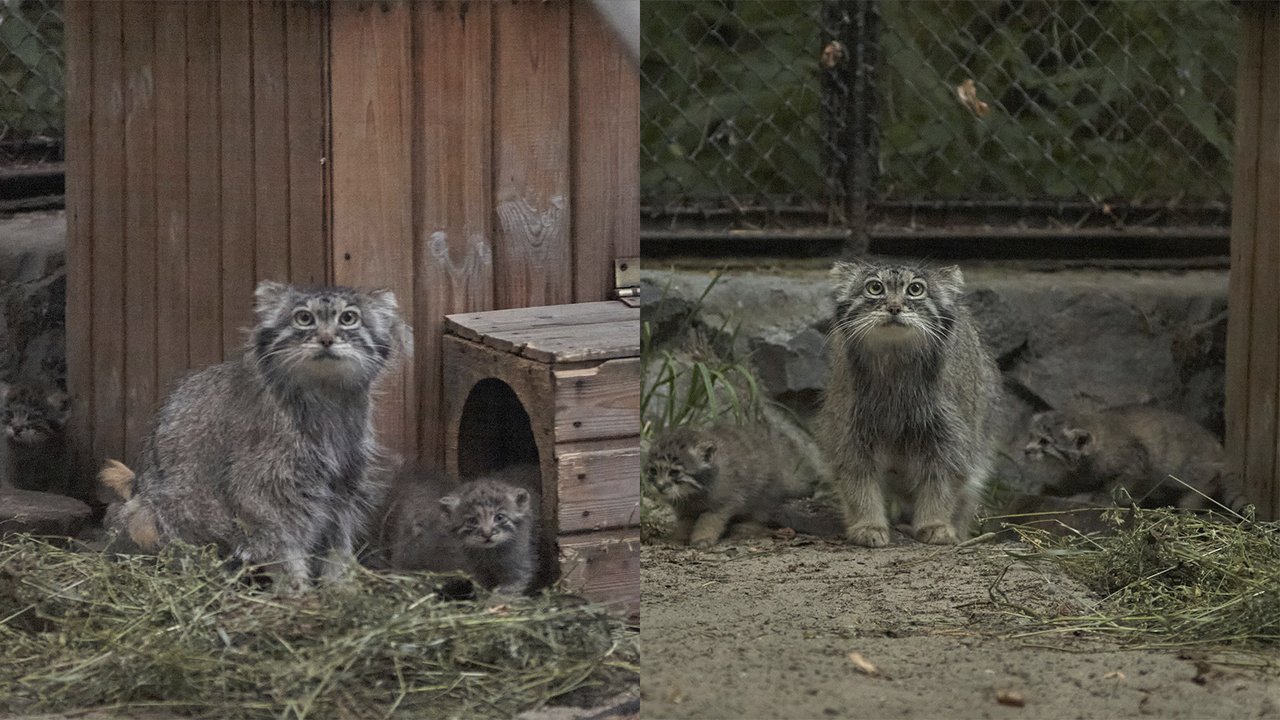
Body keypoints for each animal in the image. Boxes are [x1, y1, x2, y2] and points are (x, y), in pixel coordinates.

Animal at [101, 278, 409, 586]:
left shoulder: (344, 483)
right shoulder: (262, 490)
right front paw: (296, 587)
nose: (326, 339)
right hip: (142, 515)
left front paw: (339, 585)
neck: (325, 396)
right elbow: (281, 542)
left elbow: (338, 540)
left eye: (348, 318)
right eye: (303, 318)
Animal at [819, 260, 998, 545]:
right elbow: (857, 481)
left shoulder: (950, 436)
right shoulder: (849, 432)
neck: (895, 363)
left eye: (915, 289)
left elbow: (942, 481)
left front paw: (935, 523)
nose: (894, 307)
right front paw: (868, 524)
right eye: (875, 287)